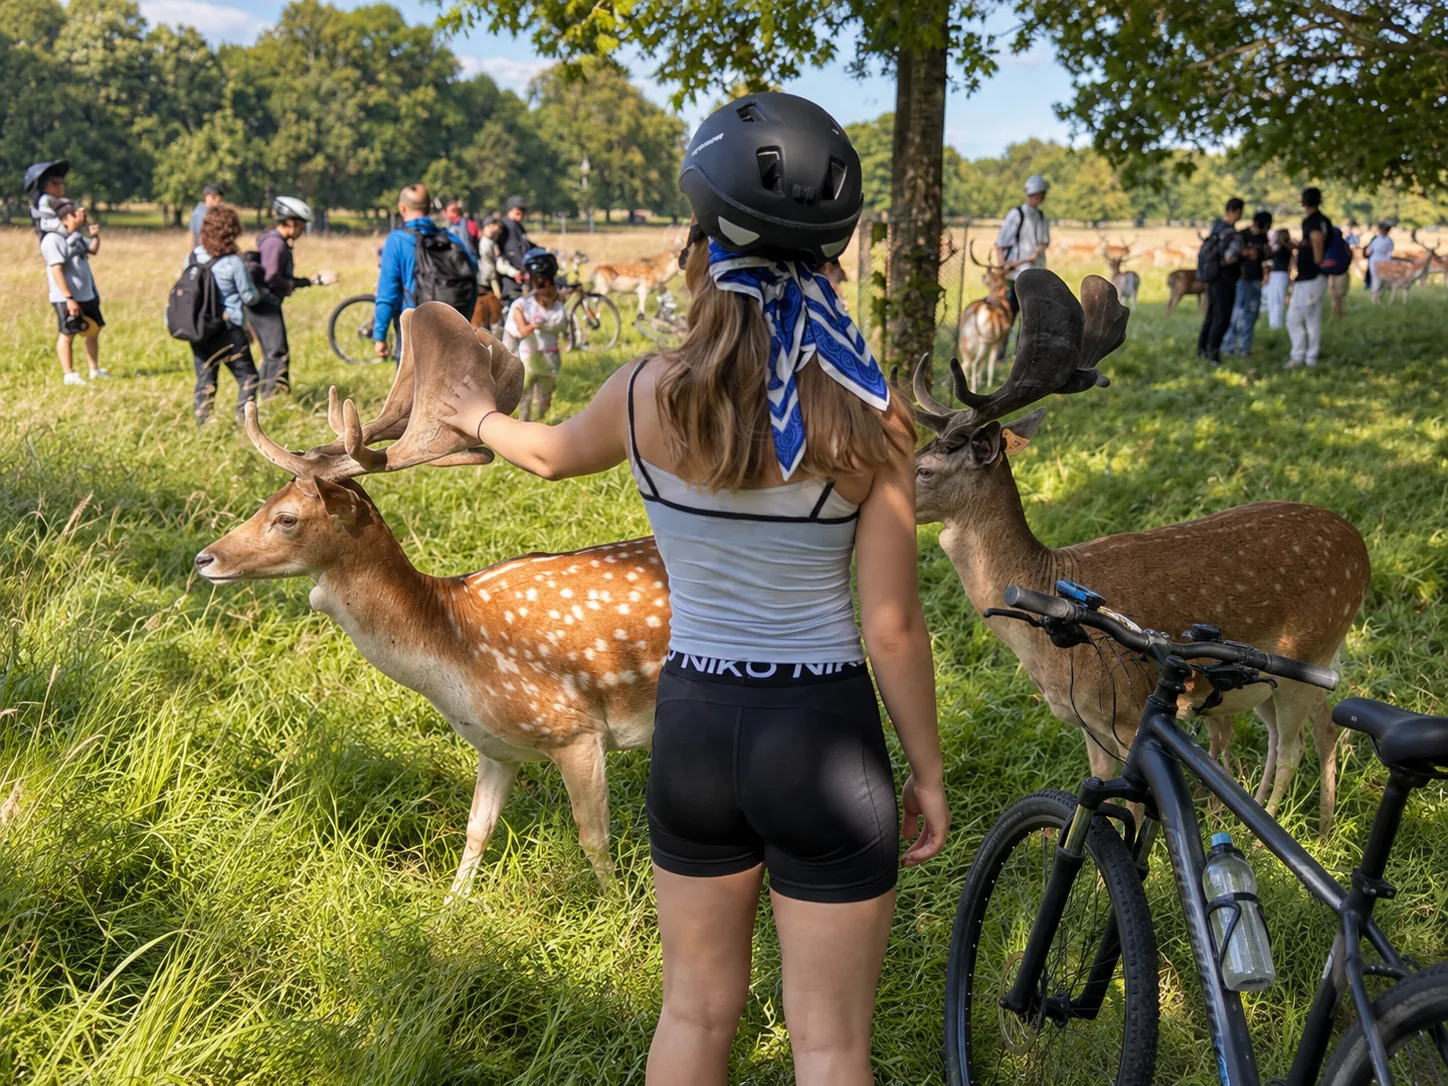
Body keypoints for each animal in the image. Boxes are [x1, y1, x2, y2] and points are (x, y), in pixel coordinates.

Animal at [193, 303, 672, 896]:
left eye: (286, 518)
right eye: (266, 501)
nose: (205, 559)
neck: (453, 654)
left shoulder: (575, 730)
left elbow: (593, 840)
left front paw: (617, 905)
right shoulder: (495, 747)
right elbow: (477, 829)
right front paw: (451, 904)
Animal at [903, 269, 1370, 837]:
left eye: (925, 469)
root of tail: (1362, 551)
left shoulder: (1126, 714)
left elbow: (1134, 810)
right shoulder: (1089, 724)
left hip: (1310, 651)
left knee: (1299, 743)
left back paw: (1274, 837)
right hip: (1275, 677)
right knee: (1309, 730)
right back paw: (1306, 825)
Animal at [958, 241, 1015, 391]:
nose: (983, 277)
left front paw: (981, 382)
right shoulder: (999, 340)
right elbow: (990, 362)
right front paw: (989, 384)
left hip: (966, 342)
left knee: (965, 363)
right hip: (984, 342)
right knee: (975, 363)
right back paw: (974, 389)